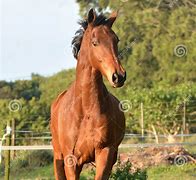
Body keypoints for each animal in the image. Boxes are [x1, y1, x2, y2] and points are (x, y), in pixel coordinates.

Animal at [50, 8, 126, 180]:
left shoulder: (105, 153)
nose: (119, 76)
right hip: (58, 158)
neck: (85, 110)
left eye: (116, 40)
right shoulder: (71, 160)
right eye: (95, 42)